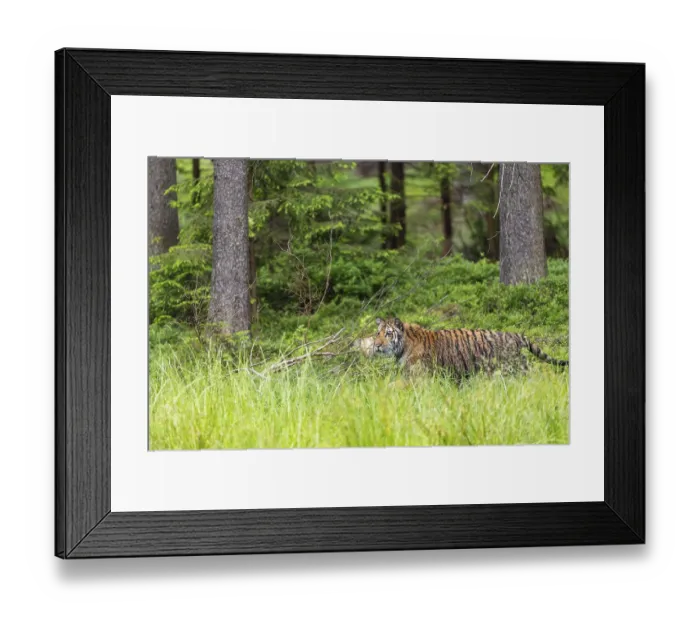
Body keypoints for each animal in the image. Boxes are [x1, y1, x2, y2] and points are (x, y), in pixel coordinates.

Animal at [370, 317, 568, 378]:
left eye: (388, 333)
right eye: (378, 333)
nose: (376, 345)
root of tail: (516, 335)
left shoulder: (418, 377)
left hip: (514, 368)